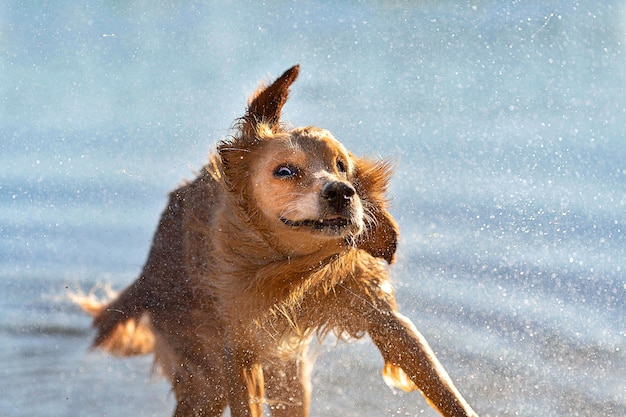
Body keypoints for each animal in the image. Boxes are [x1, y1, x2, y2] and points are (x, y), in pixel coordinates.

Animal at [75, 65, 480, 416]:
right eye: (285, 171)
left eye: (342, 166)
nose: (342, 192)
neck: (290, 267)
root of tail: (146, 273)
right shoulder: (239, 348)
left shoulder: (380, 313)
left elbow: (442, 387)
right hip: (205, 380)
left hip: (287, 376)